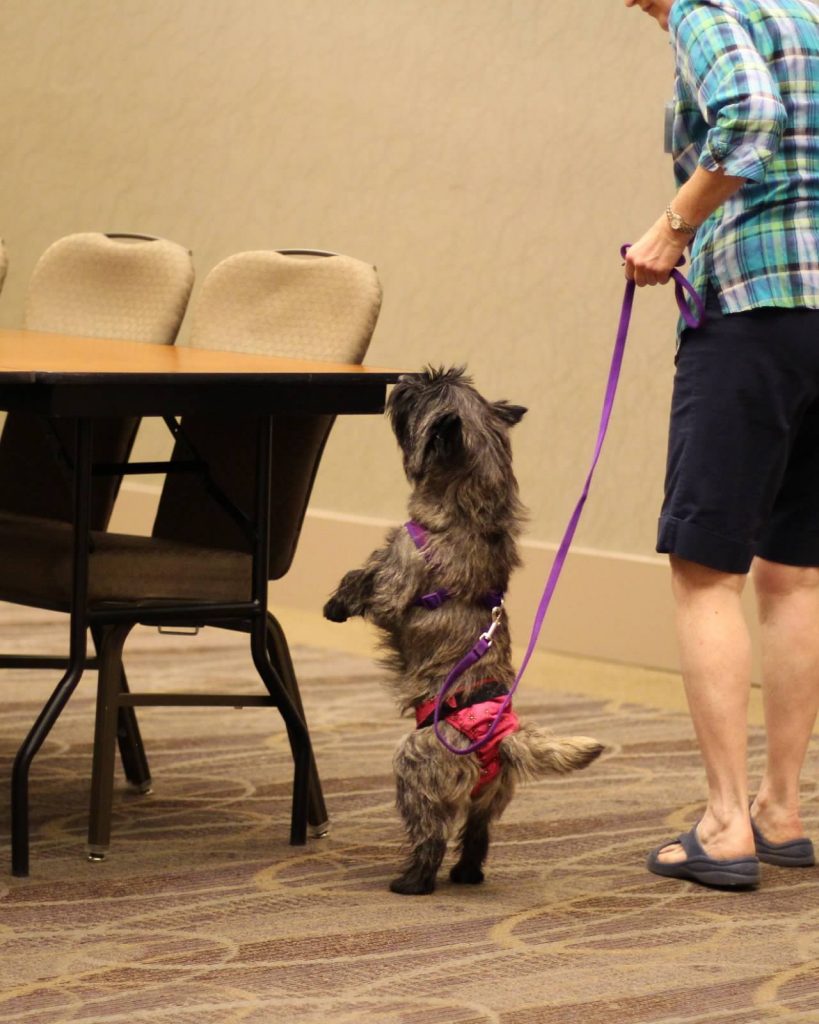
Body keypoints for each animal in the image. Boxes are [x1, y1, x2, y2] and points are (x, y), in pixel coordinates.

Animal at [325, 364, 601, 892]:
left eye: (426, 391)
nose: (407, 377)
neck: (467, 508)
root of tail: (501, 740)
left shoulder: (398, 573)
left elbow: (366, 580)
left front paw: (337, 603)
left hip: (415, 767)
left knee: (430, 834)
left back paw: (412, 880)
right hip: (490, 798)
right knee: (477, 836)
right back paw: (468, 873)